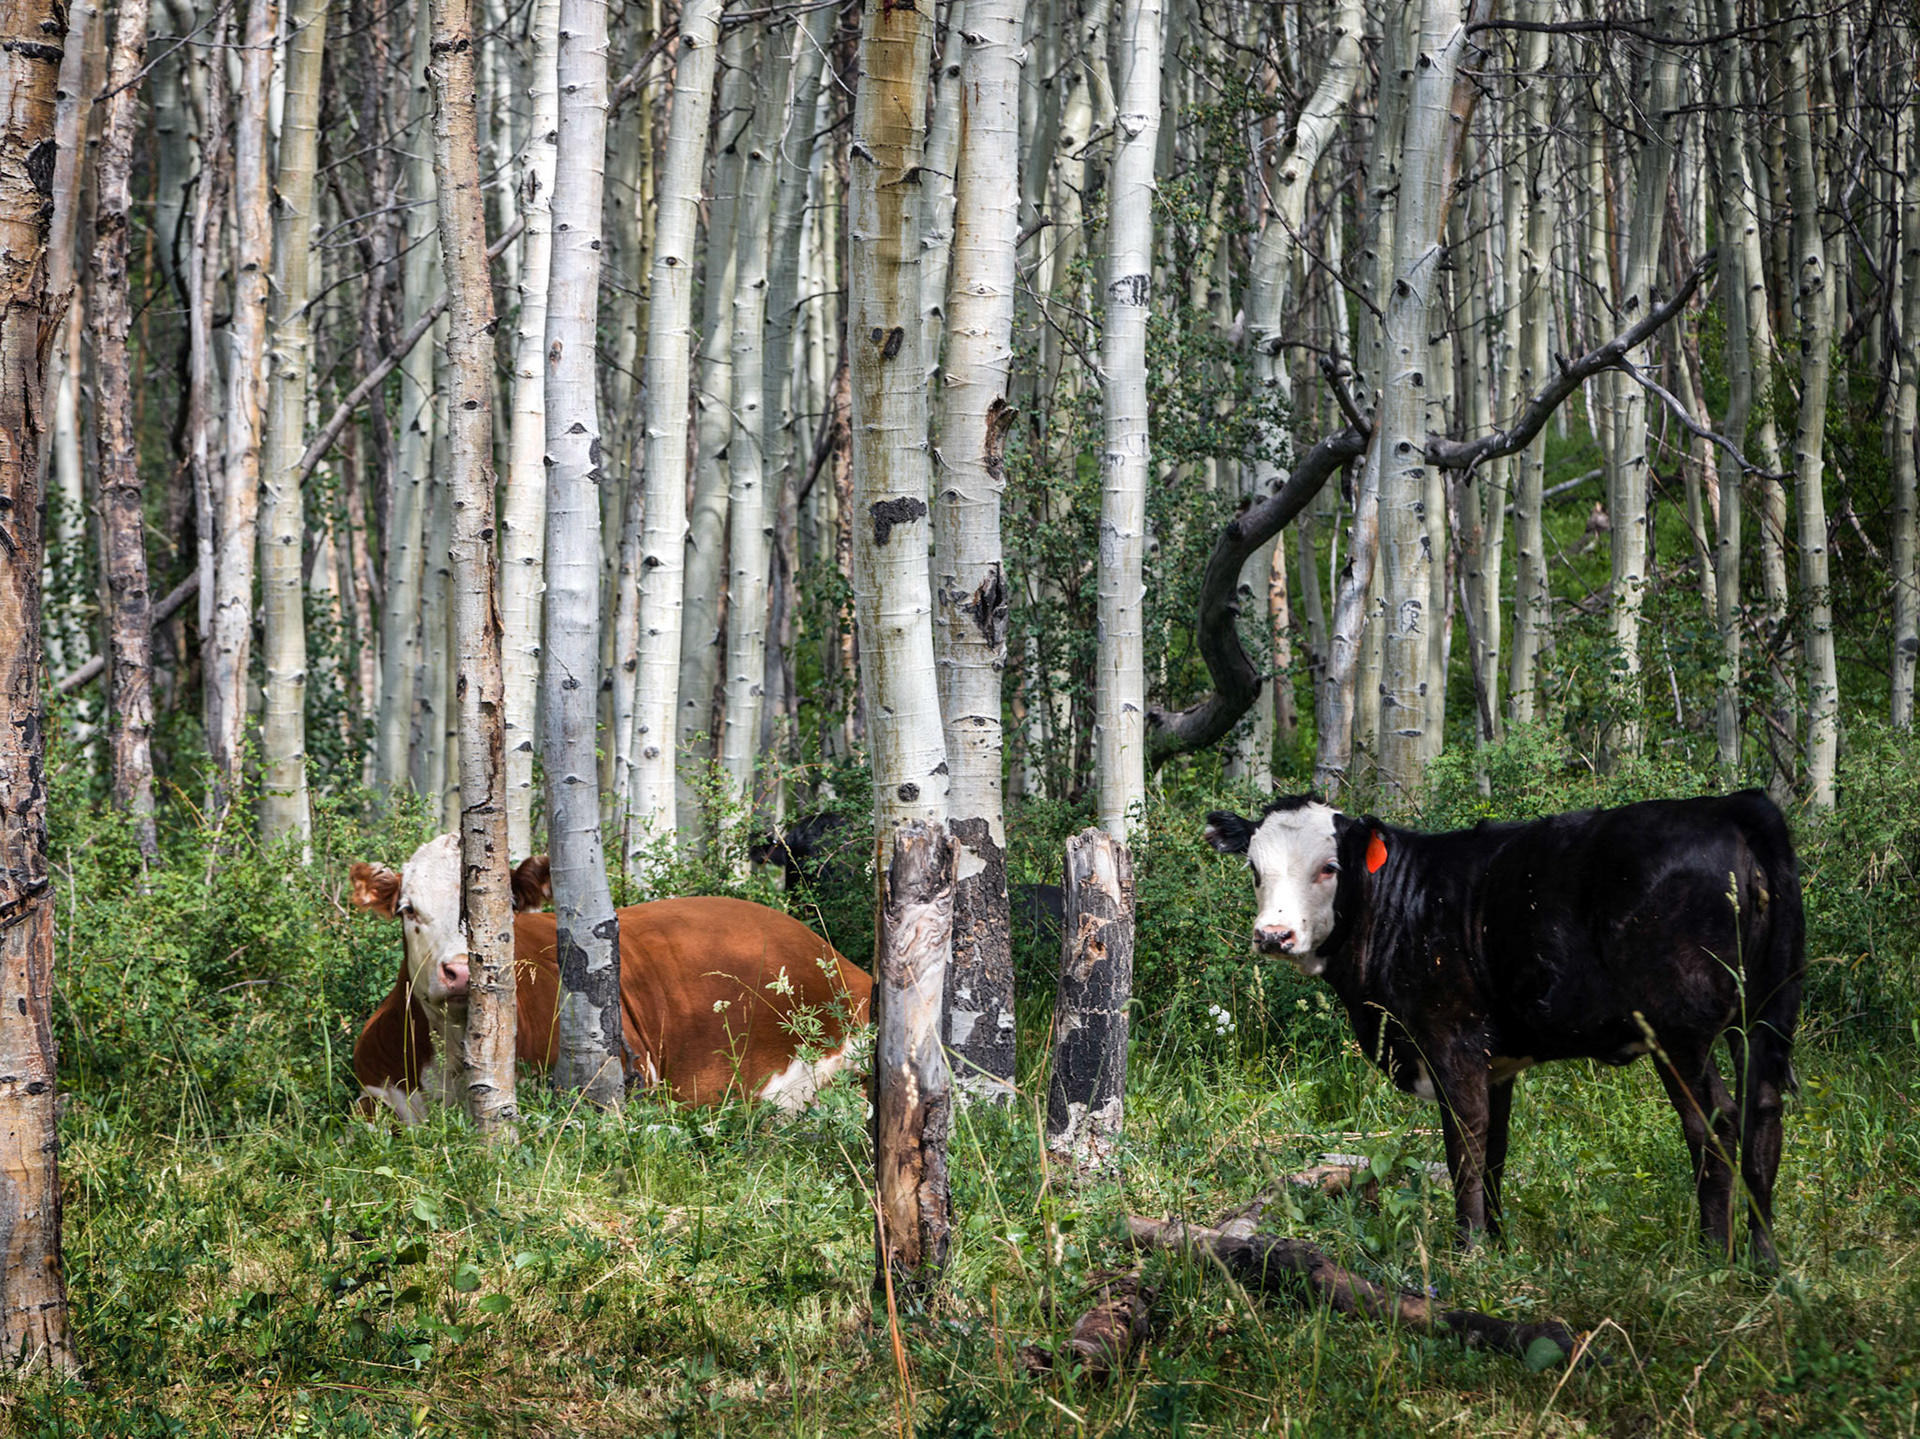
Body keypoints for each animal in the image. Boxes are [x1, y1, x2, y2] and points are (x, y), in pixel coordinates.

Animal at [1204, 791, 1804, 1263]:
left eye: (1329, 867)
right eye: (1254, 871)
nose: (1273, 935)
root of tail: (1726, 804)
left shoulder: (1452, 1042)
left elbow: (1463, 1147)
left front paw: (1467, 1251)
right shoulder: (1497, 1062)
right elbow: (1494, 1148)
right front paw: (1496, 1243)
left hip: (1678, 1028)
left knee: (1714, 1121)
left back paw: (1713, 1253)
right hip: (1760, 1015)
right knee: (1763, 1110)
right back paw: (1763, 1258)